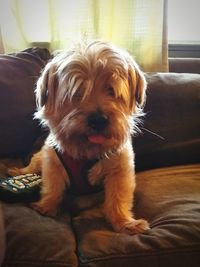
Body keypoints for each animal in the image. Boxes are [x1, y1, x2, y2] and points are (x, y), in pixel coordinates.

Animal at [9, 40, 150, 236]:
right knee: (32, 166)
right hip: (40, 157)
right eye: (77, 92)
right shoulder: (52, 163)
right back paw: (18, 173)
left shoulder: (120, 171)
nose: (99, 120)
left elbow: (118, 198)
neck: (86, 150)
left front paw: (124, 222)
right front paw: (46, 206)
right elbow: (52, 187)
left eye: (111, 90)